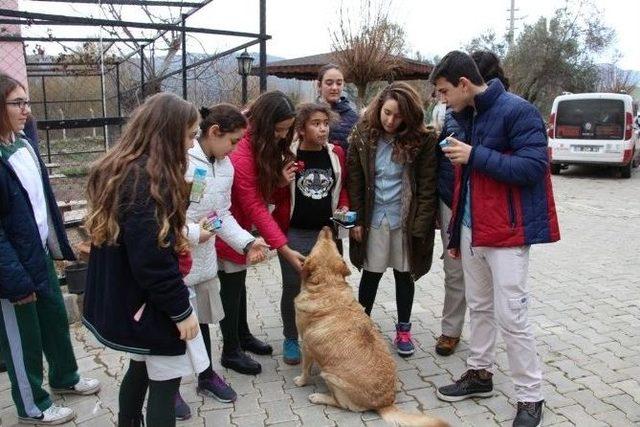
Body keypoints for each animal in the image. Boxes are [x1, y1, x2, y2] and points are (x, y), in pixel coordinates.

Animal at [294, 227, 448, 427]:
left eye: (319, 244)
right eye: (333, 245)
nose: (328, 228)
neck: (329, 286)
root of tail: (385, 403)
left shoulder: (306, 346)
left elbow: (305, 369)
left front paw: (301, 380)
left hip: (330, 376)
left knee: (341, 404)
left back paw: (319, 397)